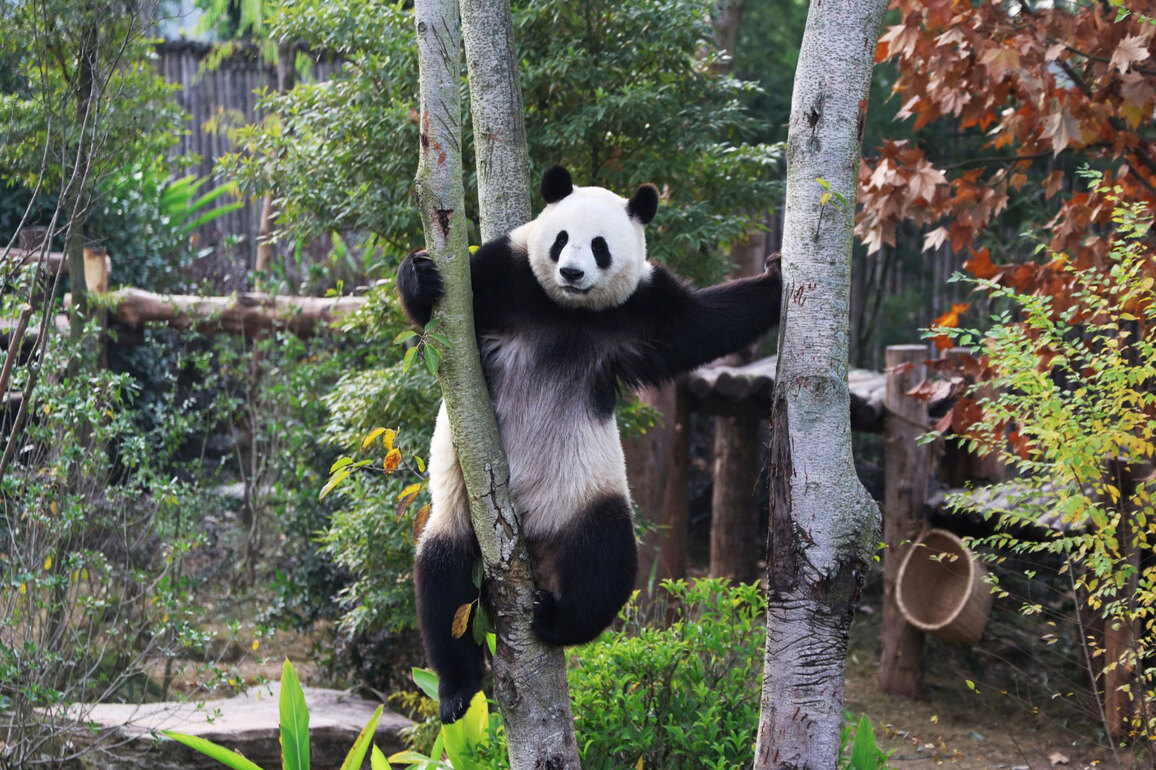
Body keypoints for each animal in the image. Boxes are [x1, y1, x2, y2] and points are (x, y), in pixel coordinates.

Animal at [397, 166, 781, 723]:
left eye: (599, 247)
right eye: (560, 240)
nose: (572, 274)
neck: (567, 311)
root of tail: (533, 536)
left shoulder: (641, 310)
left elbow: (708, 324)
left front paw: (776, 280)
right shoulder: (505, 275)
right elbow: (437, 318)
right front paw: (421, 275)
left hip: (585, 497)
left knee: (607, 561)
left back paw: (554, 620)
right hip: (462, 507)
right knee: (442, 581)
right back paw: (455, 687)